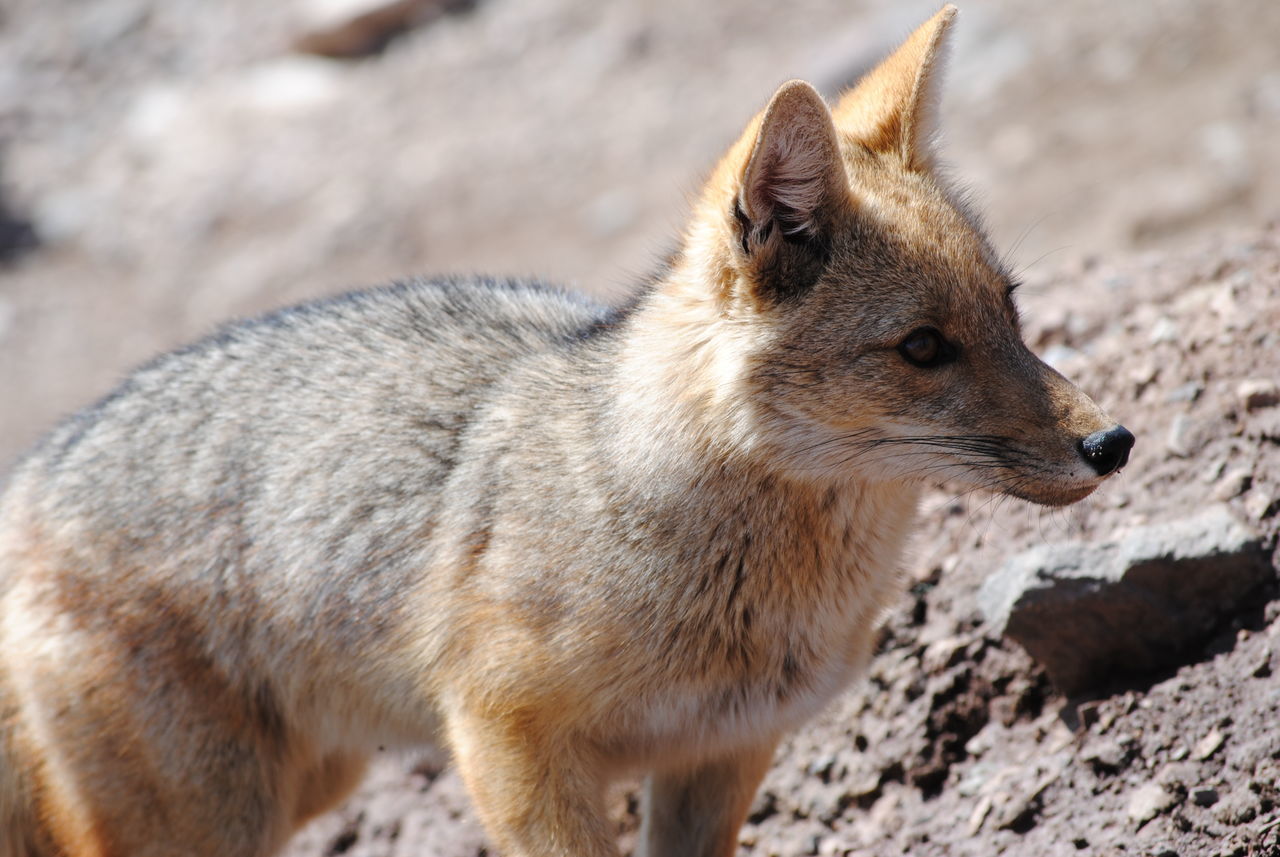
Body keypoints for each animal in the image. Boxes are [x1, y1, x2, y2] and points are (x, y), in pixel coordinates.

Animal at [0, 6, 1136, 857]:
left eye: (1009, 308)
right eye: (922, 347)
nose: (1113, 441)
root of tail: (27, 480)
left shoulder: (722, 752)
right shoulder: (508, 744)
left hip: (305, 785)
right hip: (210, 817)